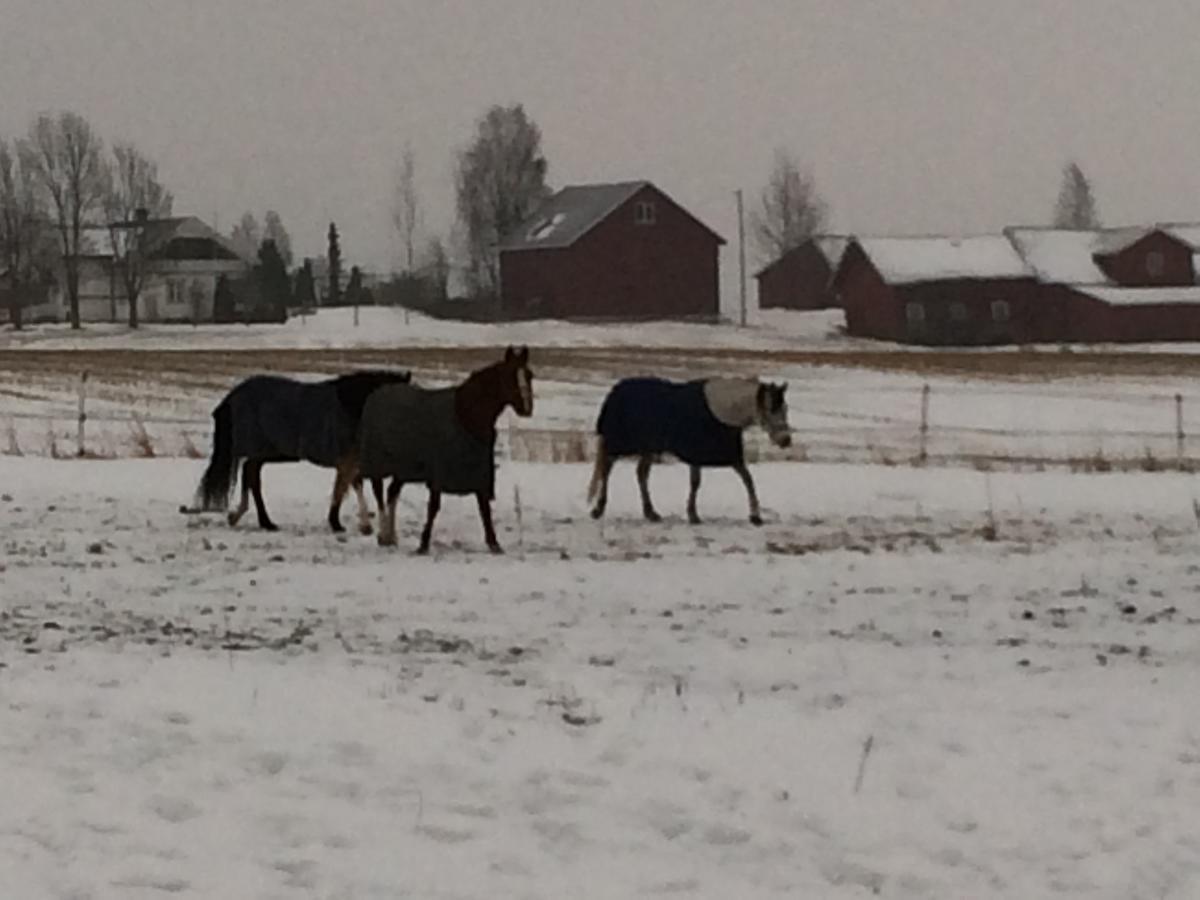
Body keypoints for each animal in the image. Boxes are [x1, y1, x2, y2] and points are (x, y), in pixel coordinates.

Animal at [189, 367, 410, 532]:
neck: (353, 407)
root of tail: (233, 395)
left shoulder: (351, 460)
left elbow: (347, 487)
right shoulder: (348, 459)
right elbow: (350, 486)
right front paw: (344, 524)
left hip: (263, 452)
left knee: (249, 474)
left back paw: (248, 517)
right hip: (261, 450)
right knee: (252, 476)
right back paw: (261, 520)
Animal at [350, 348, 532, 554]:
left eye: (529, 375)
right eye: (509, 376)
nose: (527, 408)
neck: (466, 416)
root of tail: (375, 395)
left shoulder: (478, 473)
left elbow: (484, 508)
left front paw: (494, 544)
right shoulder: (439, 474)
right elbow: (434, 507)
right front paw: (423, 544)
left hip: (403, 469)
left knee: (391, 493)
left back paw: (391, 535)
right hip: (378, 463)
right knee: (377, 491)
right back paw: (382, 534)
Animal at [585, 374, 792, 528]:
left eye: (785, 408)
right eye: (771, 409)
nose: (786, 440)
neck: (720, 411)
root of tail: (615, 391)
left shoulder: (731, 456)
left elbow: (748, 480)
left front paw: (756, 516)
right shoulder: (696, 454)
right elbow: (696, 483)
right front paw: (693, 515)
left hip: (648, 448)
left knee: (641, 473)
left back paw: (651, 513)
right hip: (619, 443)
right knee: (607, 469)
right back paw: (598, 509)